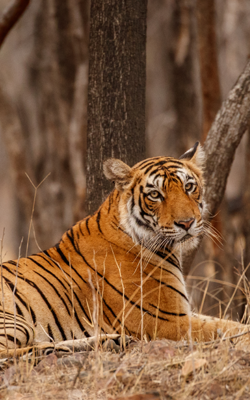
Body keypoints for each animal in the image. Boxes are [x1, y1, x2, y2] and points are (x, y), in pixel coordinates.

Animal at [0, 141, 250, 354]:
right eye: (155, 195)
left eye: (189, 187)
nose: (187, 223)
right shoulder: (165, 320)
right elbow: (229, 328)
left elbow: (226, 322)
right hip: (15, 321)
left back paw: (106, 342)